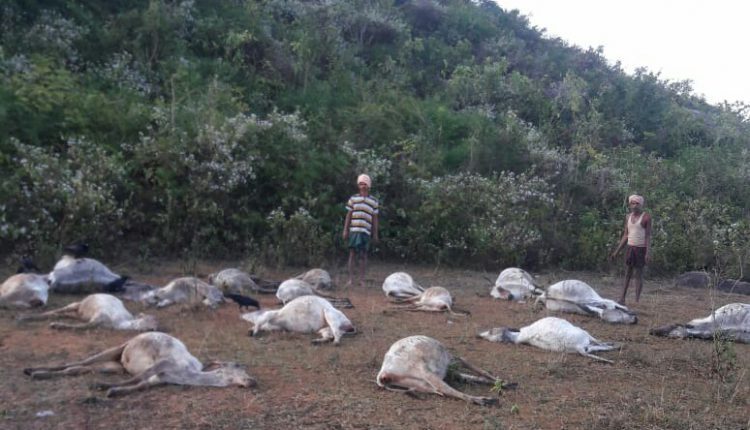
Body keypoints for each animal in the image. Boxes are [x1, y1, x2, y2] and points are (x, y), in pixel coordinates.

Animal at [17, 294, 157, 330]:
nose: (152, 329)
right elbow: (83, 326)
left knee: (62, 314)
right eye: (147, 319)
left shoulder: (97, 321)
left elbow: (83, 326)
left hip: (79, 314)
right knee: (59, 310)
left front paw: (57, 325)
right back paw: (24, 317)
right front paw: (57, 325)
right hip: (77, 304)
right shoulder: (98, 316)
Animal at [24, 330, 258, 398]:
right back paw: (32, 370)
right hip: (117, 348)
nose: (253, 381)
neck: (186, 375)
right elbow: (138, 378)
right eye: (239, 366)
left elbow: (140, 385)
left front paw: (113, 391)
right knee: (79, 361)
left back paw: (36, 373)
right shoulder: (161, 364)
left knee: (79, 368)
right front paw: (101, 386)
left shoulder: (160, 379)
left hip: (114, 365)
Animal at [376, 336, 512, 406]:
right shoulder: (453, 360)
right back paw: (484, 400)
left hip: (421, 384)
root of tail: (383, 374)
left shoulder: (451, 370)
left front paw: (503, 383)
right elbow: (473, 366)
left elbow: (471, 377)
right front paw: (503, 382)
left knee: (441, 390)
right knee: (445, 389)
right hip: (424, 369)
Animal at [482, 316, 624, 362]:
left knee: (596, 346)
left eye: (491, 330)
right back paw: (614, 346)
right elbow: (599, 343)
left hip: (584, 342)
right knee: (598, 345)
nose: (480, 335)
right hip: (583, 335)